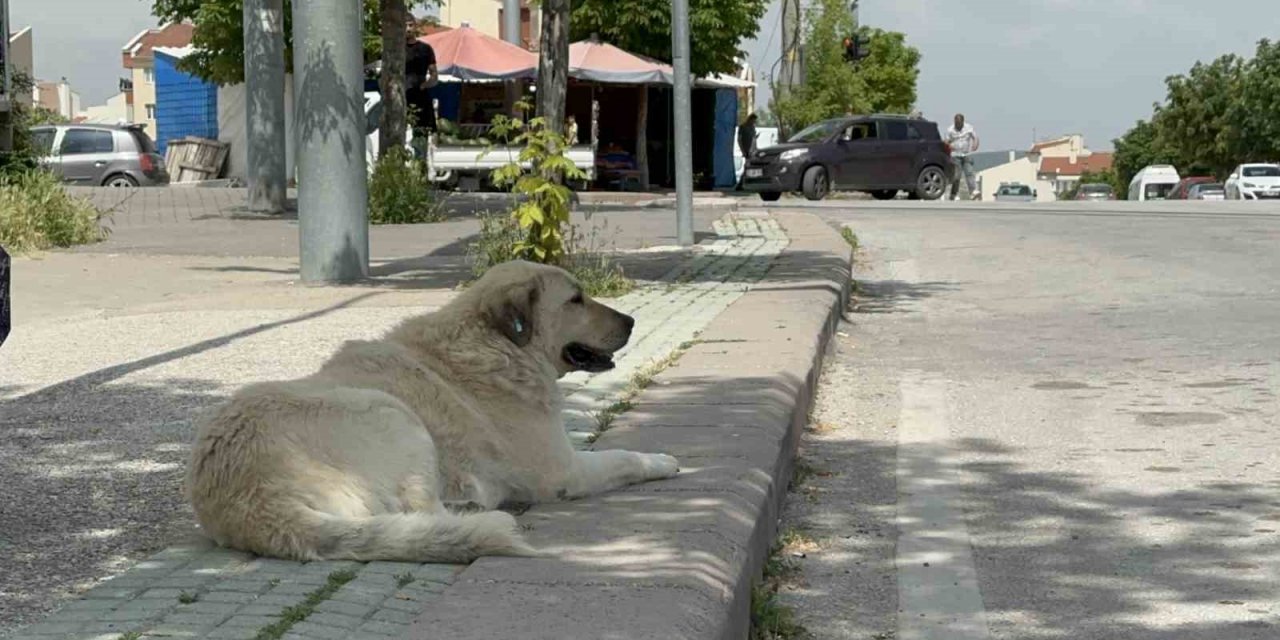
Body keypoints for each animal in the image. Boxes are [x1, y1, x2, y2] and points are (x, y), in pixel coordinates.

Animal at [186, 259, 680, 560]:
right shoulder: (564, 473)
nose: (632, 321)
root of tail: (253, 500)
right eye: (576, 299)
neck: (499, 348)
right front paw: (662, 460)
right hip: (393, 414)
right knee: (425, 513)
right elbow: (623, 458)